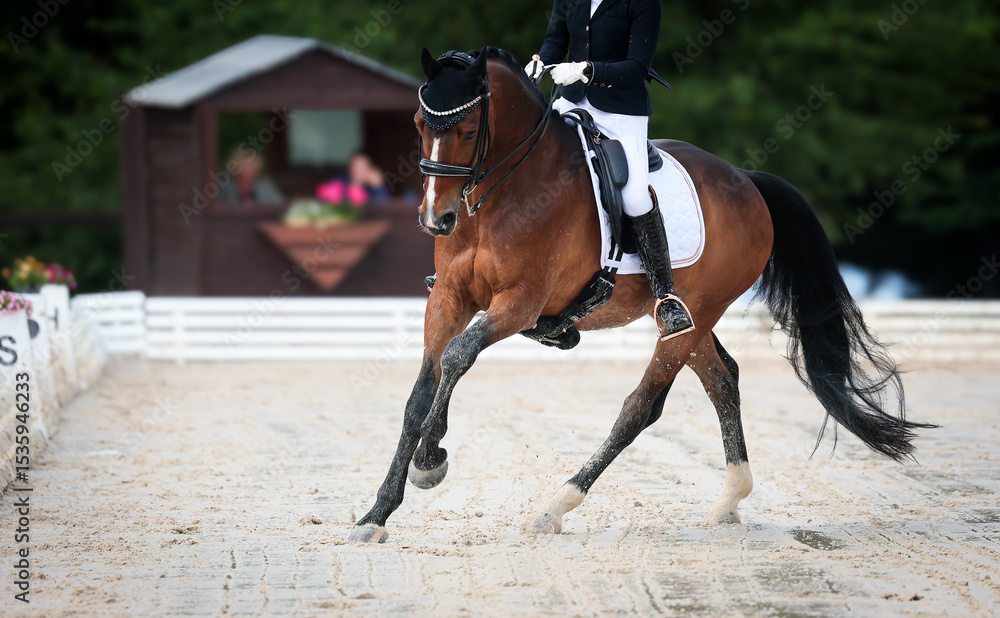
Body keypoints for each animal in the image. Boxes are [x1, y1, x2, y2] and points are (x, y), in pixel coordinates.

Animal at [348, 47, 933, 543]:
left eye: (468, 129)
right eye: (419, 124)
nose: (436, 219)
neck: (502, 192)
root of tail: (746, 181)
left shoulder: (521, 303)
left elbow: (457, 356)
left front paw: (431, 460)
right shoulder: (447, 298)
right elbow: (420, 392)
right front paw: (376, 514)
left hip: (691, 315)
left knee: (641, 407)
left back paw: (555, 506)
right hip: (692, 318)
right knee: (723, 379)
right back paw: (730, 501)